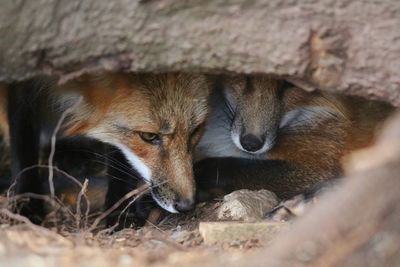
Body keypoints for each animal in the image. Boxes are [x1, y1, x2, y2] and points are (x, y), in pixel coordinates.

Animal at [6, 73, 211, 222]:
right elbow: (23, 145)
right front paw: (26, 207)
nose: (186, 205)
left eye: (195, 130)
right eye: (149, 136)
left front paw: (119, 212)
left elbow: (118, 159)